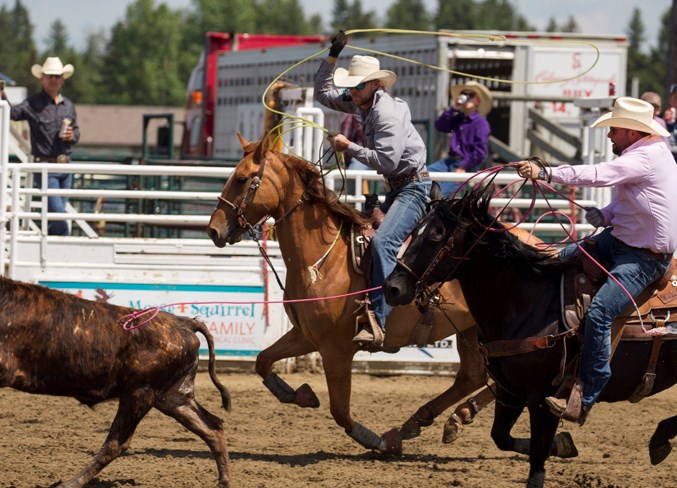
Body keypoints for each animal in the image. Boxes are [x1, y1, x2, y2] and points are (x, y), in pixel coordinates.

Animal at [207, 132, 564, 456]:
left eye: (241, 179)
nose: (213, 230)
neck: (323, 258)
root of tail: (539, 246)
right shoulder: (306, 336)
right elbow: (263, 361)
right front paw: (300, 395)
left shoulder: (336, 350)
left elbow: (340, 412)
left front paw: (379, 441)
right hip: (471, 329)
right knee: (473, 375)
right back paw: (438, 419)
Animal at [382, 185, 676, 486]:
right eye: (413, 231)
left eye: (435, 236)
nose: (392, 288)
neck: (526, 301)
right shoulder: (509, 391)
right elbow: (501, 437)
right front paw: (563, 444)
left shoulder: (542, 398)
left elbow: (537, 456)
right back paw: (660, 438)